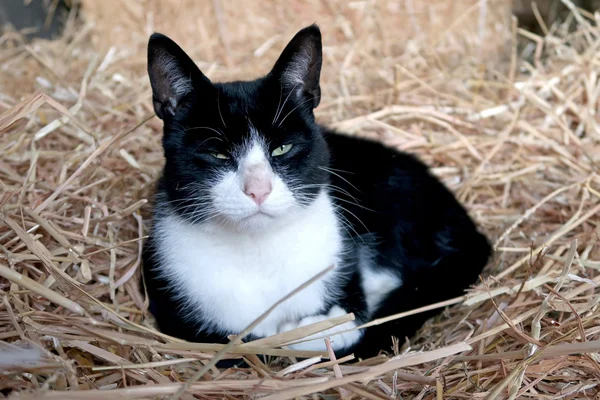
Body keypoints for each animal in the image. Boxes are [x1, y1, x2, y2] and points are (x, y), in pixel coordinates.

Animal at [142, 23, 492, 360]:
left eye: (282, 148)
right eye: (217, 154)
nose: (258, 190)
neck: (257, 250)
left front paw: (317, 329)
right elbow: (236, 348)